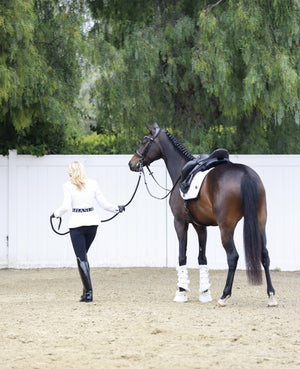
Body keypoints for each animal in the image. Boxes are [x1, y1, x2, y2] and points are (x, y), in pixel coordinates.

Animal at [129, 122, 278, 306]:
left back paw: (224, 296)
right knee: (264, 255)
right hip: (260, 223)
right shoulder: (200, 226)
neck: (181, 173)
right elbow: (202, 258)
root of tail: (245, 174)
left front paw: (181, 291)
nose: (132, 163)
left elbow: (182, 256)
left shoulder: (180, 222)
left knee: (233, 257)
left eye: (144, 141)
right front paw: (205, 293)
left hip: (226, 228)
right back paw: (271, 295)